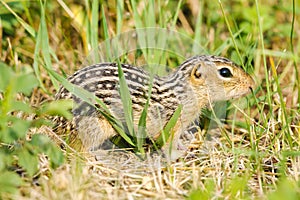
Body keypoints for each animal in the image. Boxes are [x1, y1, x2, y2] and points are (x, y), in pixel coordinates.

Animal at [52, 54, 254, 159]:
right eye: (225, 72)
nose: (252, 84)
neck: (182, 94)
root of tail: (56, 124)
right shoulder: (171, 126)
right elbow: (167, 145)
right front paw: (179, 154)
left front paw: (188, 145)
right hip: (93, 128)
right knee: (77, 150)